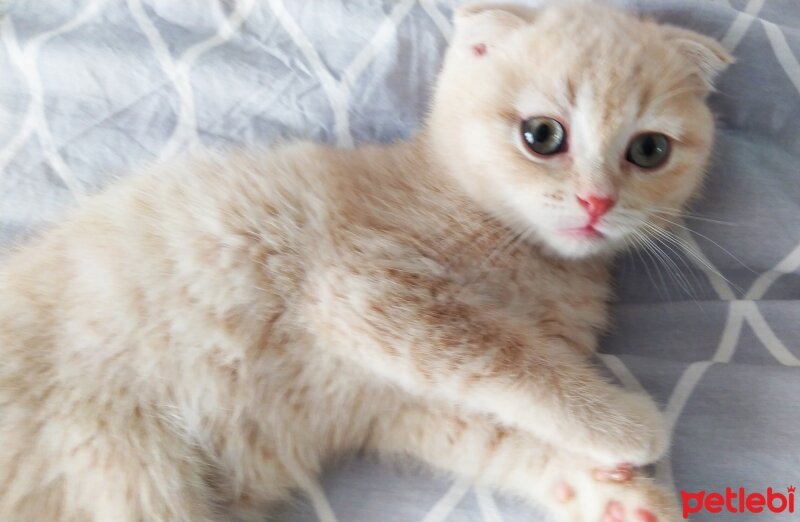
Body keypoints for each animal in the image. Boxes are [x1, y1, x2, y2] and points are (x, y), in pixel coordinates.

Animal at [0, 4, 732, 520]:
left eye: (649, 151)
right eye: (542, 136)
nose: (596, 201)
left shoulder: (402, 407)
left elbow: (503, 434)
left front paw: (614, 494)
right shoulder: (368, 291)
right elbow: (513, 362)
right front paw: (628, 424)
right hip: (122, 470)